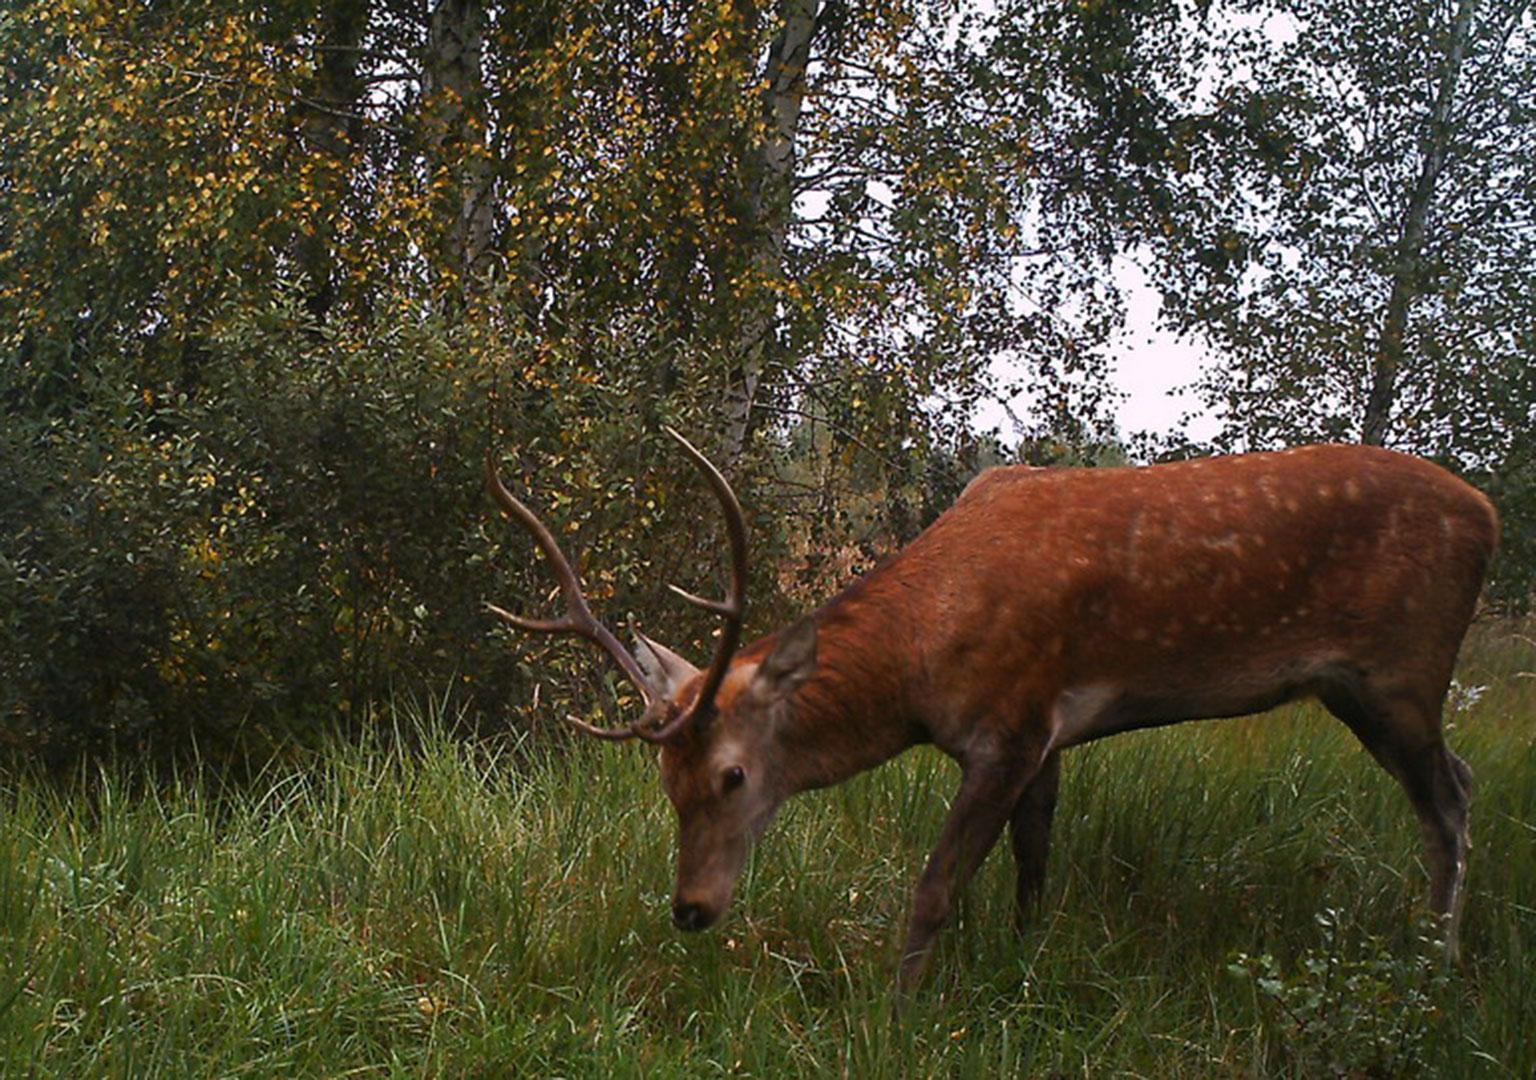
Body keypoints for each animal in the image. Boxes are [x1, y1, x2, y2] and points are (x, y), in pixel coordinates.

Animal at [491, 433, 1499, 989]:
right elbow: (1034, 854)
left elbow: (936, 887)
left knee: (1452, 794)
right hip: (1364, 686)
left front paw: (896, 1014)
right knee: (1453, 785)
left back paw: (1438, 963)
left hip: (1402, 669)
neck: (922, 662)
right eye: (665, 783)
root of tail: (1487, 513)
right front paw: (1023, 957)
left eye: (732, 776)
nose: (691, 910)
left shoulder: (1008, 726)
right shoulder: (1049, 726)